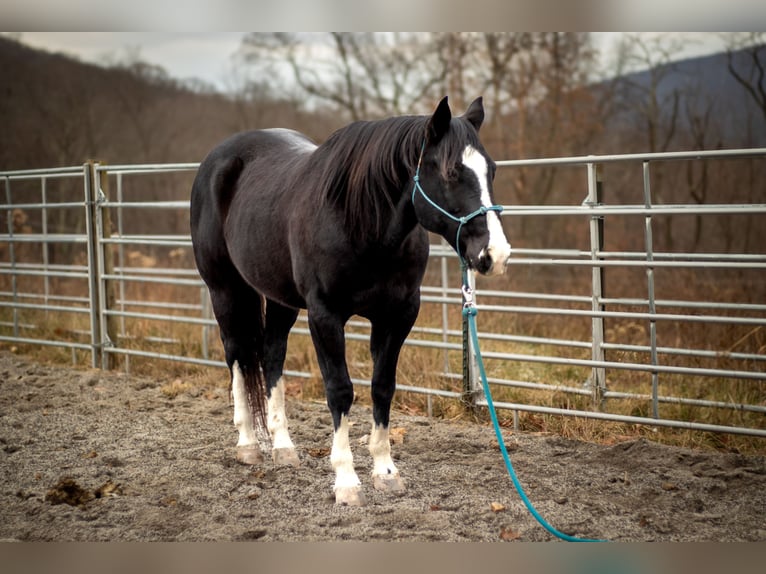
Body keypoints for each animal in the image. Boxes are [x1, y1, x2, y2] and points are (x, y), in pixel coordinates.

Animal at [191, 97, 512, 506]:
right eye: (452, 171)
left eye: (492, 170)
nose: (495, 254)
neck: (360, 221)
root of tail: (218, 159)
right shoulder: (325, 316)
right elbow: (340, 391)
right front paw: (346, 481)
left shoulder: (397, 315)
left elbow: (382, 387)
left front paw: (386, 472)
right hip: (225, 289)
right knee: (237, 356)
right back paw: (248, 444)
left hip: (280, 300)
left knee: (270, 357)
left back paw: (282, 447)